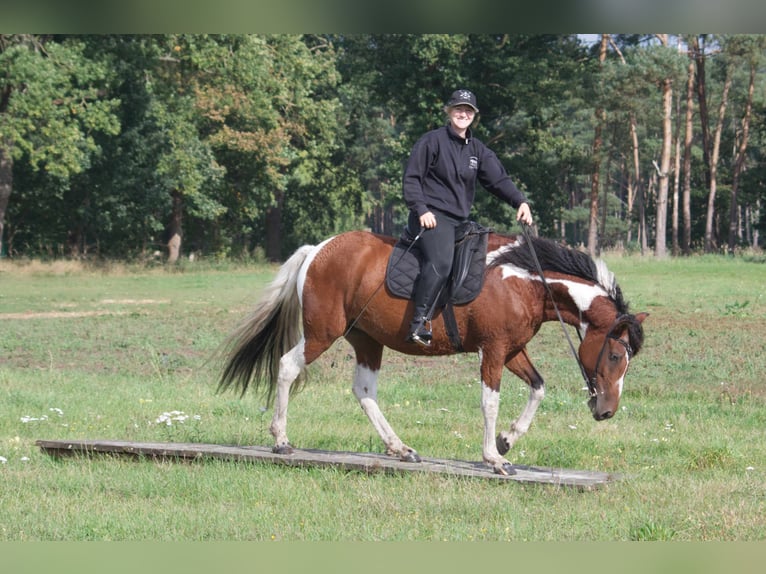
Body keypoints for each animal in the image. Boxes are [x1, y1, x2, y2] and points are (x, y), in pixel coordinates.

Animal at [219, 230, 652, 476]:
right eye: (616, 356)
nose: (607, 411)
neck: (523, 280)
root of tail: (318, 249)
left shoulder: (513, 349)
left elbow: (538, 388)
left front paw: (506, 441)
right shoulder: (493, 350)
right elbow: (490, 402)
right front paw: (494, 458)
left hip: (367, 340)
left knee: (364, 391)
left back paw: (400, 448)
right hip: (323, 332)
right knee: (287, 366)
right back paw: (280, 439)